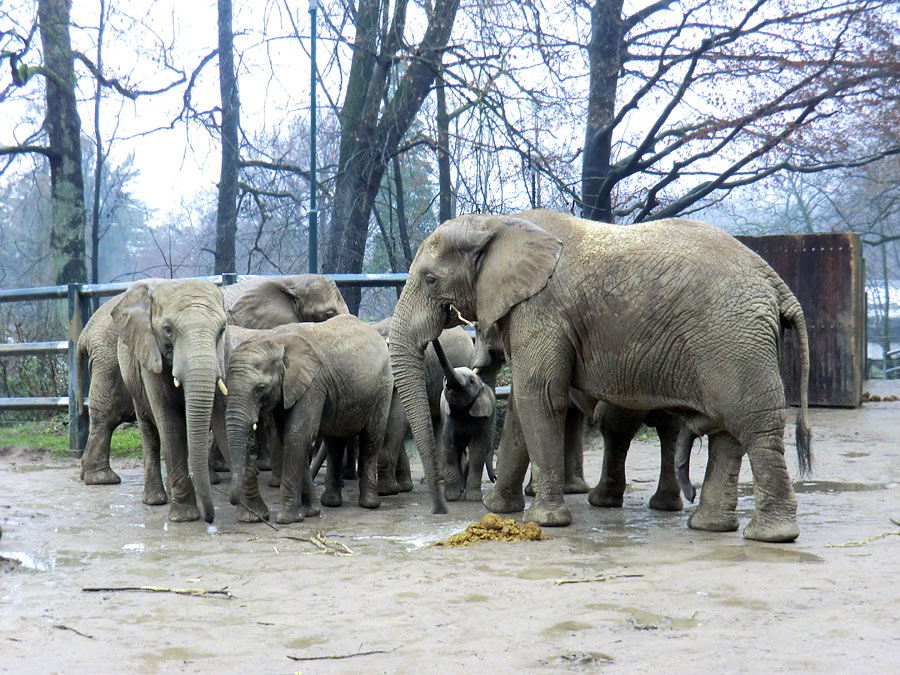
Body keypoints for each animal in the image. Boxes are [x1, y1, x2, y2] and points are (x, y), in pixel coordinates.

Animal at [112, 278, 230, 524]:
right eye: (168, 330)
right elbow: (169, 421)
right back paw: (155, 499)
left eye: (222, 329)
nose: (210, 519)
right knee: (150, 432)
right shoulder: (150, 355)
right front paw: (185, 517)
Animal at [227, 314, 392, 524]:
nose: (233, 501)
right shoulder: (288, 389)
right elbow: (289, 437)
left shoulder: (313, 384)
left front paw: (287, 519)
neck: (274, 340)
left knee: (372, 438)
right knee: (335, 443)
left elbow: (297, 435)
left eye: (260, 389)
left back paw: (369, 504)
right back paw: (331, 503)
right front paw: (309, 512)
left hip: (383, 386)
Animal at [432, 338, 496, 502]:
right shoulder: (449, 417)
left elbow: (478, 449)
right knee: (458, 451)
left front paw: (473, 498)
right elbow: (448, 447)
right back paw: (460, 490)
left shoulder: (481, 418)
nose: (495, 479)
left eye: (472, 381)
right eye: (444, 380)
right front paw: (452, 498)